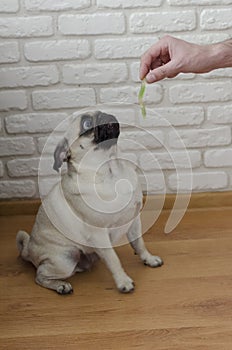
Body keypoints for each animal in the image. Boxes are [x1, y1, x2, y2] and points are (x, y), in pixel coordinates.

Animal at [15, 110, 163, 294]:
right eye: (86, 124)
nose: (106, 115)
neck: (110, 172)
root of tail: (28, 249)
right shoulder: (99, 235)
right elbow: (113, 259)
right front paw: (123, 281)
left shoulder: (134, 220)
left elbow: (139, 243)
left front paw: (148, 259)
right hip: (64, 260)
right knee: (40, 275)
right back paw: (61, 286)